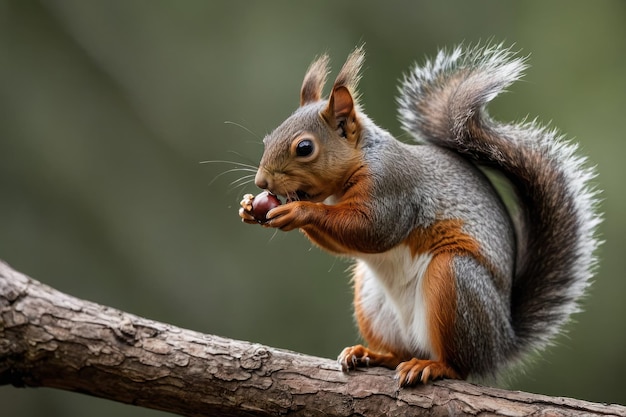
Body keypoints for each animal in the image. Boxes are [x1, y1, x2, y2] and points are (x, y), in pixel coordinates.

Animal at [236, 44, 596, 386]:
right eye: (268, 138)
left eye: (305, 148)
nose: (262, 182)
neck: (362, 160)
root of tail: (500, 344)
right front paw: (248, 207)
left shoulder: (393, 189)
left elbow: (372, 230)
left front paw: (299, 211)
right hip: (372, 300)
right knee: (400, 352)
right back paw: (371, 354)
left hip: (455, 281)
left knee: (459, 366)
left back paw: (434, 366)